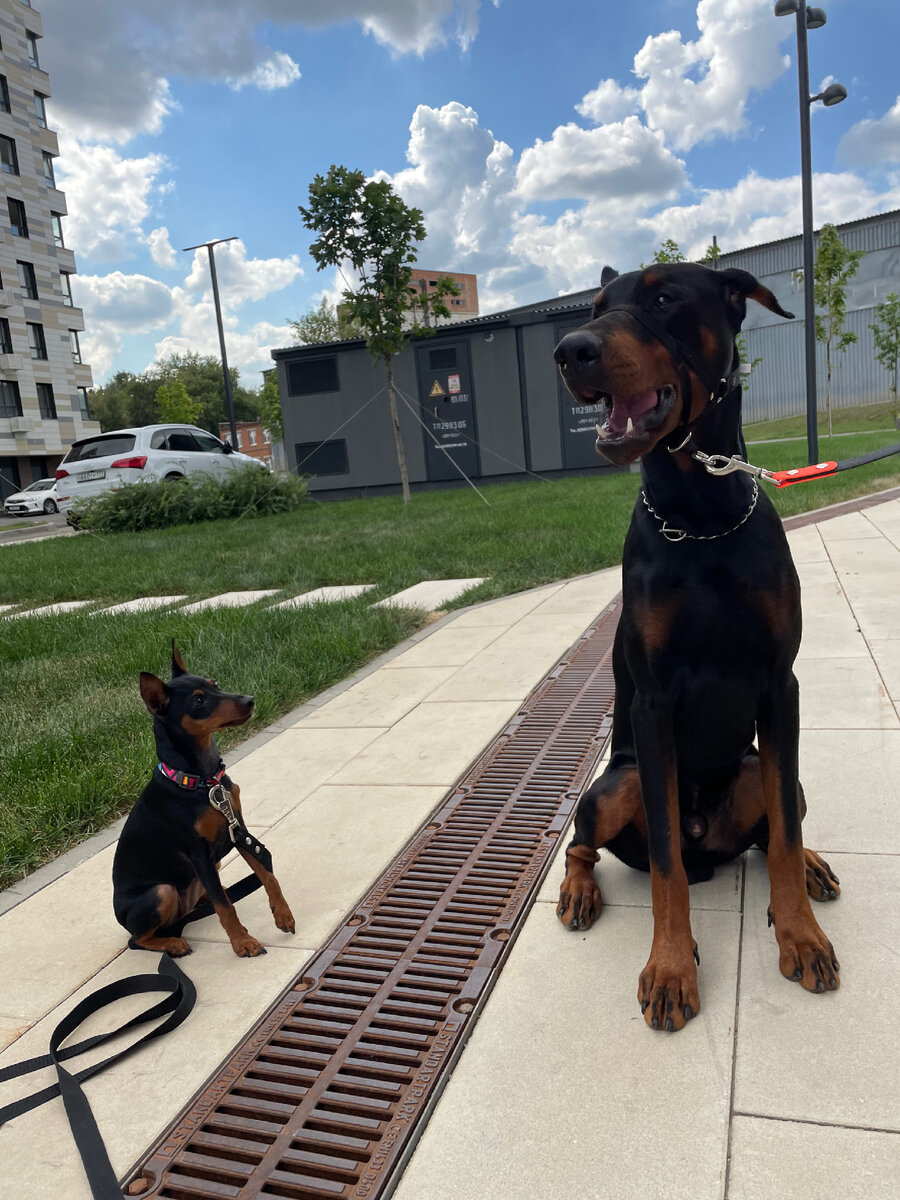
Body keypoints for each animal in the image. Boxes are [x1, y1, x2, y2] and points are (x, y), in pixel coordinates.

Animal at [112, 643, 294, 957]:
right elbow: (226, 906)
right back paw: (173, 943)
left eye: (215, 684)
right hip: (161, 892)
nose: (249, 700)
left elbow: (265, 873)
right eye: (198, 701)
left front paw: (282, 913)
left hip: (209, 870)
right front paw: (243, 943)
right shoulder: (199, 854)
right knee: (136, 940)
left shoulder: (238, 830)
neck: (202, 781)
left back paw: (199, 904)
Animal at [552, 262, 840, 1032]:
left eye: (663, 298)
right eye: (597, 306)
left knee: (778, 821)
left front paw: (801, 935)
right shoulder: (652, 703)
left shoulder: (780, 683)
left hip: (761, 765)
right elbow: (663, 867)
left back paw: (810, 866)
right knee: (588, 845)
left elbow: (783, 834)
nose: (570, 350)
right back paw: (579, 892)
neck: (702, 518)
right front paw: (671, 969)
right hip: (615, 784)